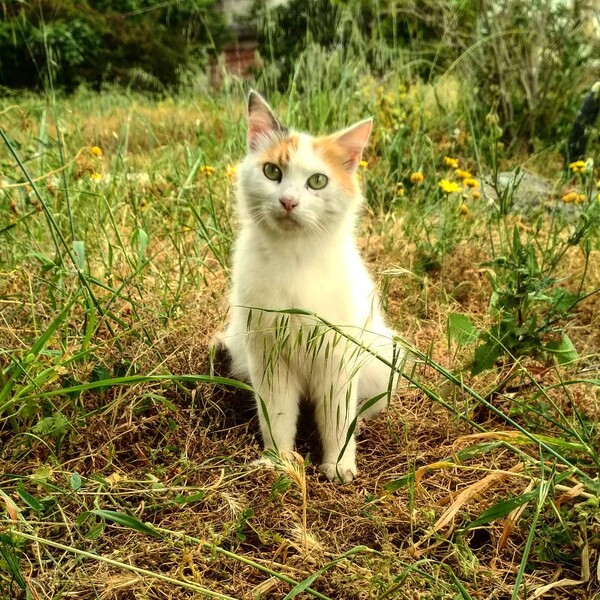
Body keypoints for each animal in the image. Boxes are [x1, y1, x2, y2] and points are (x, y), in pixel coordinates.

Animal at [216, 90, 404, 482]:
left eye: (317, 181)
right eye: (272, 172)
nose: (288, 202)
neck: (295, 257)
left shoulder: (337, 360)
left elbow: (336, 421)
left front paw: (339, 466)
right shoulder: (270, 362)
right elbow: (277, 419)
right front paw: (279, 462)